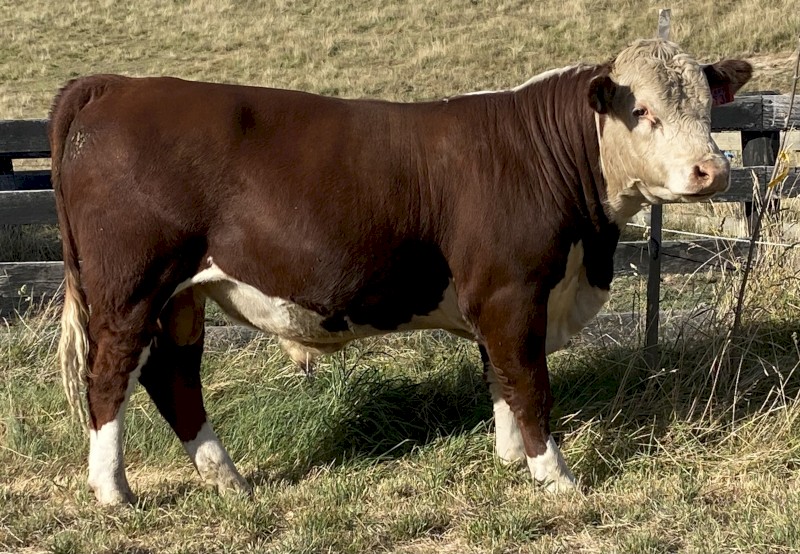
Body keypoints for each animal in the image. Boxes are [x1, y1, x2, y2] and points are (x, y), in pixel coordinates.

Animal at [50, 38, 752, 505]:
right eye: (643, 112)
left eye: (708, 111)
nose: (712, 171)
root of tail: (116, 85)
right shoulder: (512, 291)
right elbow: (530, 384)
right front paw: (556, 475)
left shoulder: (496, 299)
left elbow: (501, 378)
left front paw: (509, 460)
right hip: (131, 289)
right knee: (109, 377)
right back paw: (114, 491)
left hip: (181, 297)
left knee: (173, 378)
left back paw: (229, 479)